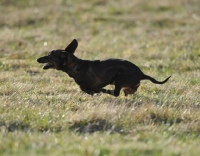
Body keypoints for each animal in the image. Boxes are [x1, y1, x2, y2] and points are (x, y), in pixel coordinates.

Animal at [37, 39, 170, 96]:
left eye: (49, 55)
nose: (38, 59)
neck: (75, 65)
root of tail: (142, 74)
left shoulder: (87, 85)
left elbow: (85, 88)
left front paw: (96, 91)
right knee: (128, 91)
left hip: (119, 78)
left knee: (115, 93)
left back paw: (106, 91)